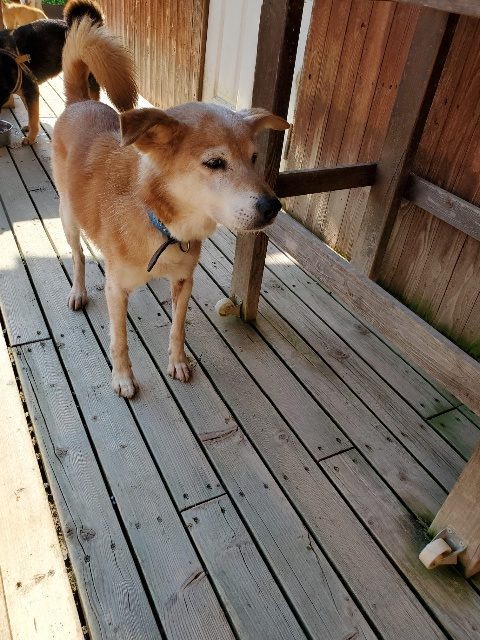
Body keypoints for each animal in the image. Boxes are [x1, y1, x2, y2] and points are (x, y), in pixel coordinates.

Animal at [0, 0, 102, 144]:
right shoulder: (27, 93)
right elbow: (31, 113)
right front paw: (29, 128)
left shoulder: (31, 91)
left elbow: (33, 116)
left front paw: (31, 137)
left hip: (88, 75)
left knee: (93, 96)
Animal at [52, 17, 289, 398]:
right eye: (215, 163)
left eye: (254, 158)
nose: (273, 207)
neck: (163, 226)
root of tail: (79, 103)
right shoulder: (116, 290)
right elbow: (120, 340)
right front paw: (123, 377)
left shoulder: (183, 280)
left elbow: (178, 327)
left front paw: (178, 362)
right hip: (68, 218)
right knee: (77, 257)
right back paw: (78, 291)